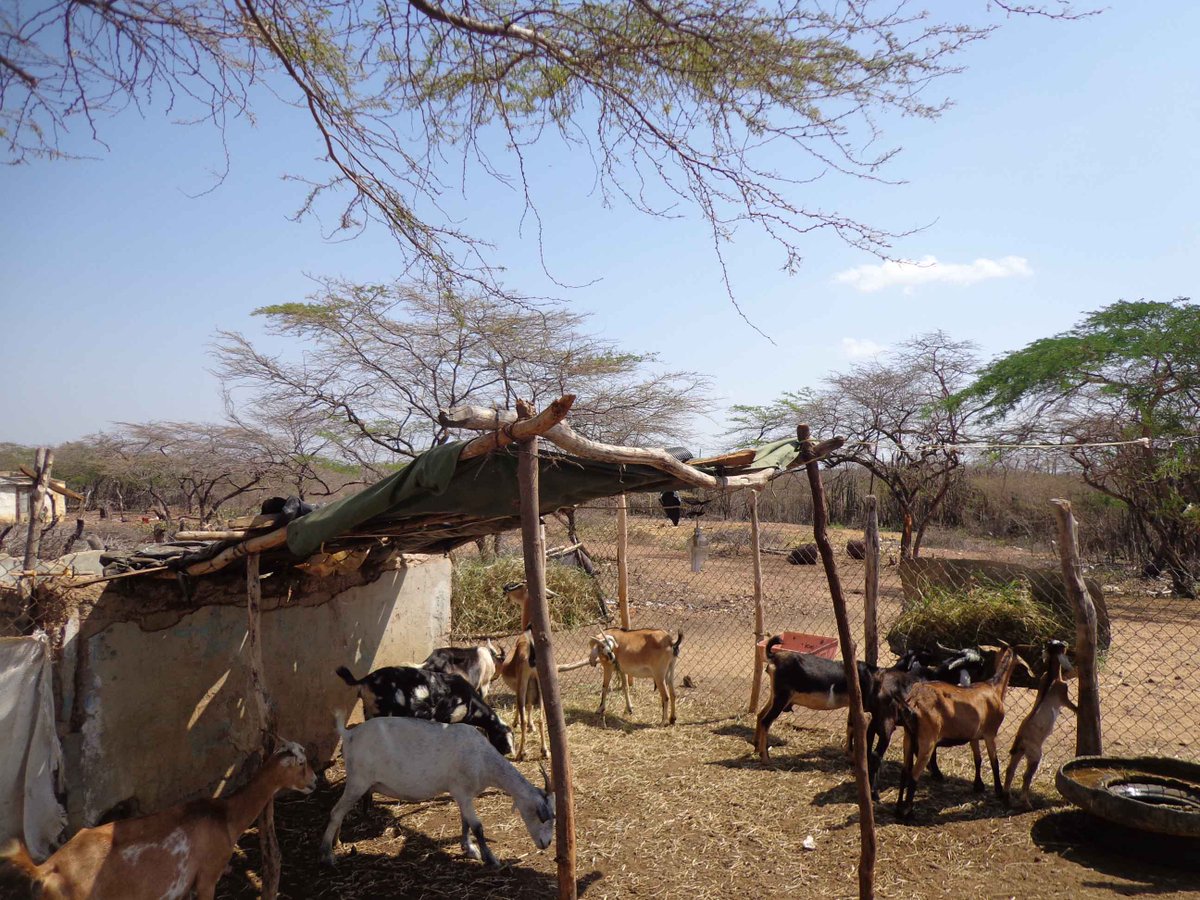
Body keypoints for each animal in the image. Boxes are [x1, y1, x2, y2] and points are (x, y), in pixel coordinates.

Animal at [322, 714, 554, 868]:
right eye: (542, 816)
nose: (547, 843)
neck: (483, 759)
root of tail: (349, 734)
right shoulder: (461, 791)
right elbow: (477, 827)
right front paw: (490, 858)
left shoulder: (462, 794)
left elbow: (465, 822)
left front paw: (468, 848)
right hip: (358, 781)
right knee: (335, 812)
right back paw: (327, 855)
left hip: (357, 783)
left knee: (340, 812)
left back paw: (337, 842)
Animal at [335, 664, 514, 757]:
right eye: (504, 741)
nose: (509, 755)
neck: (471, 702)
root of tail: (364, 681)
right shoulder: (445, 718)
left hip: (369, 713)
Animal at [495, 630, 546, 761]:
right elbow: (530, 706)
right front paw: (531, 726)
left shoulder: (519, 689)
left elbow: (520, 708)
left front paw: (515, 722)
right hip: (540, 690)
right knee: (541, 719)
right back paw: (544, 751)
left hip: (522, 688)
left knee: (523, 718)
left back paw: (521, 753)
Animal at [896, 647, 1019, 818]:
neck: (994, 687)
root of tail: (914, 702)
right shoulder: (990, 734)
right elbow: (994, 762)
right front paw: (999, 791)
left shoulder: (974, 736)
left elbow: (978, 759)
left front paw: (978, 785)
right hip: (927, 741)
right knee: (914, 775)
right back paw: (908, 812)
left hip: (908, 738)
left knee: (904, 772)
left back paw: (899, 808)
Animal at [1004, 639, 1077, 808]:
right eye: (1062, 646)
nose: (1066, 643)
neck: (1051, 677)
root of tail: (1021, 739)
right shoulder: (1063, 694)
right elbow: (1075, 707)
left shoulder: (1043, 680)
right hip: (1035, 754)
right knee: (1026, 775)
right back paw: (1026, 803)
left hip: (1018, 753)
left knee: (1010, 770)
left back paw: (1008, 797)